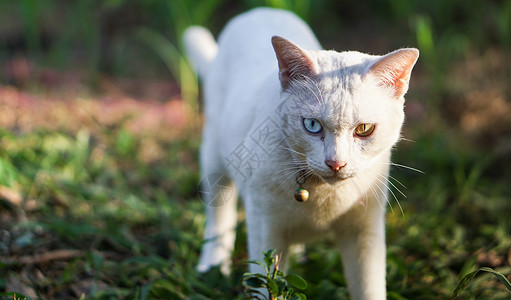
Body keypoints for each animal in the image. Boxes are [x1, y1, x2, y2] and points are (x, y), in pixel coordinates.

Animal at [184, 7, 420, 300]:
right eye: (312, 125)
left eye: (364, 129)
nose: (336, 163)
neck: (323, 198)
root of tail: (258, 10)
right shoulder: (265, 228)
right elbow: (267, 285)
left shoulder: (366, 232)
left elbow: (369, 288)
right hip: (214, 156)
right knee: (219, 214)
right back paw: (213, 265)